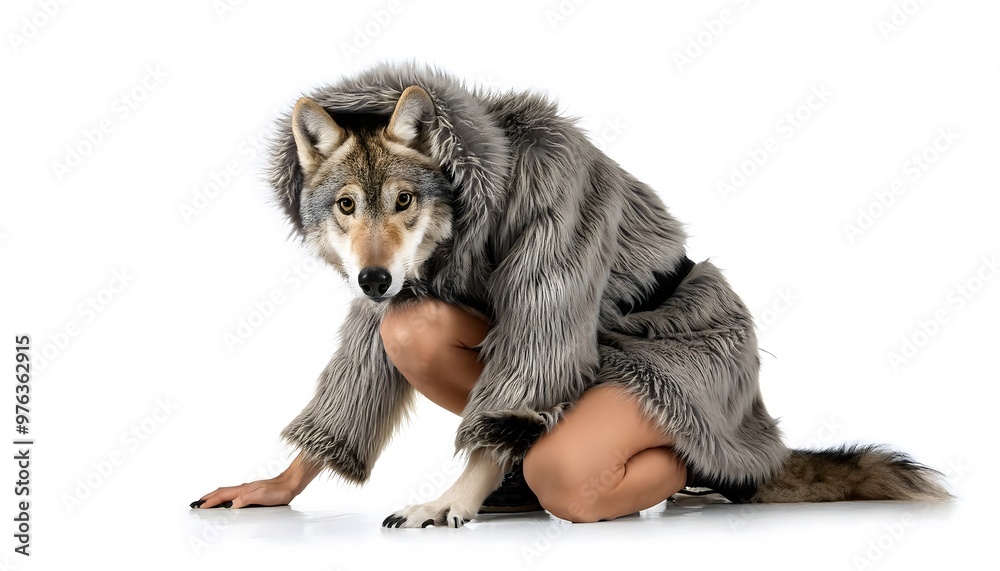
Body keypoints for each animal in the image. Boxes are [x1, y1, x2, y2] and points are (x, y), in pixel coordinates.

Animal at [271, 64, 949, 528]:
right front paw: (283, 481)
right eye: (347, 206)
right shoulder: (398, 297)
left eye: (404, 201)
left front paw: (452, 499)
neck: (469, 216)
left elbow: (524, 376)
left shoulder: (560, 220)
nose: (374, 281)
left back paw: (700, 479)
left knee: (572, 459)